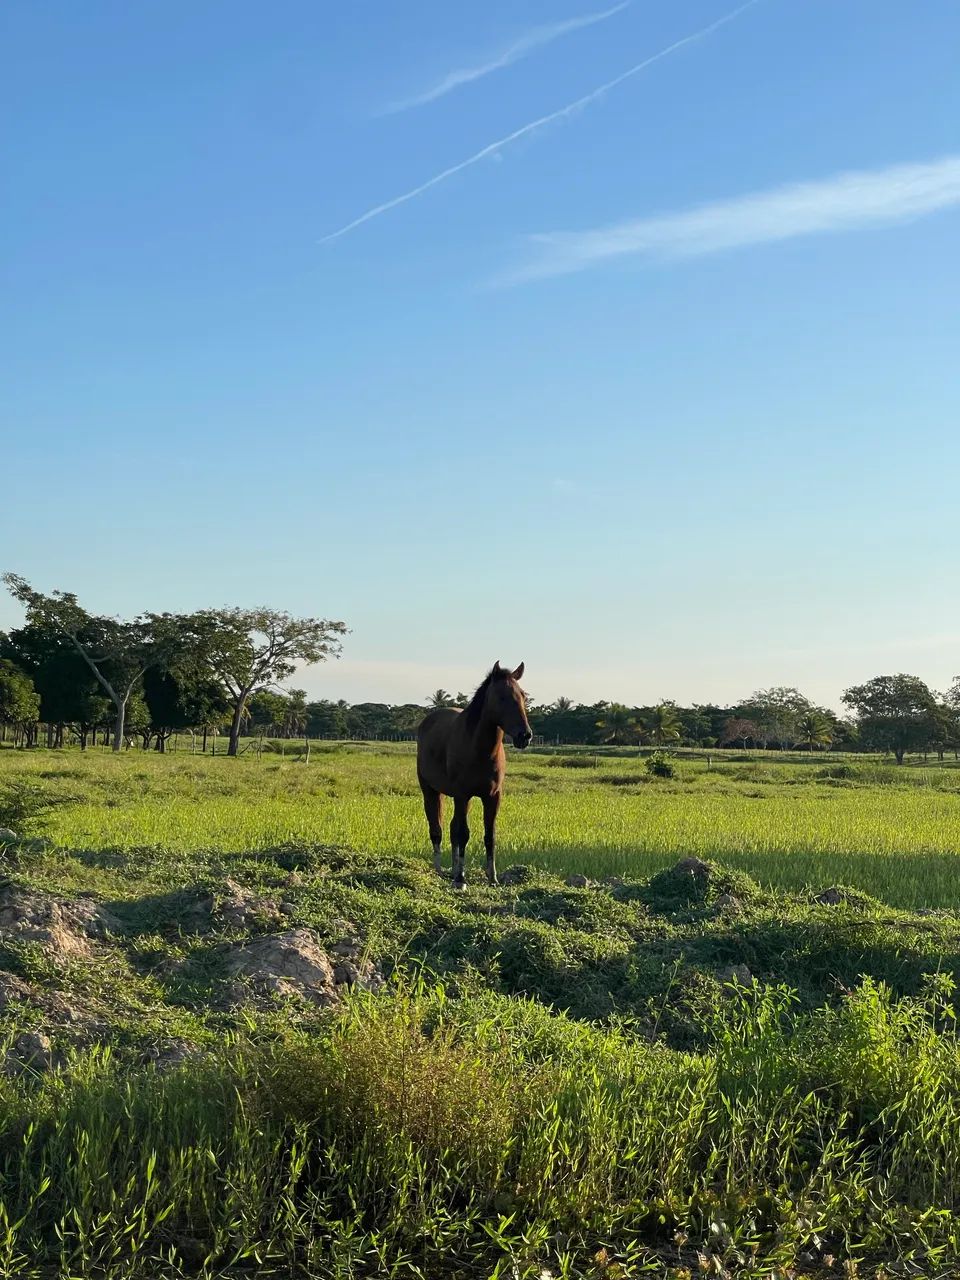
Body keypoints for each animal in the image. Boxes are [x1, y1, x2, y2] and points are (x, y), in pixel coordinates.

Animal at [416, 662, 532, 887]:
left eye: (523, 695)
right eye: (501, 696)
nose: (525, 735)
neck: (479, 750)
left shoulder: (492, 796)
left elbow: (489, 835)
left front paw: (492, 878)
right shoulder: (463, 795)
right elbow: (463, 834)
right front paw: (461, 880)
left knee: (451, 828)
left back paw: (453, 870)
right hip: (431, 791)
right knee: (436, 828)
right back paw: (440, 870)